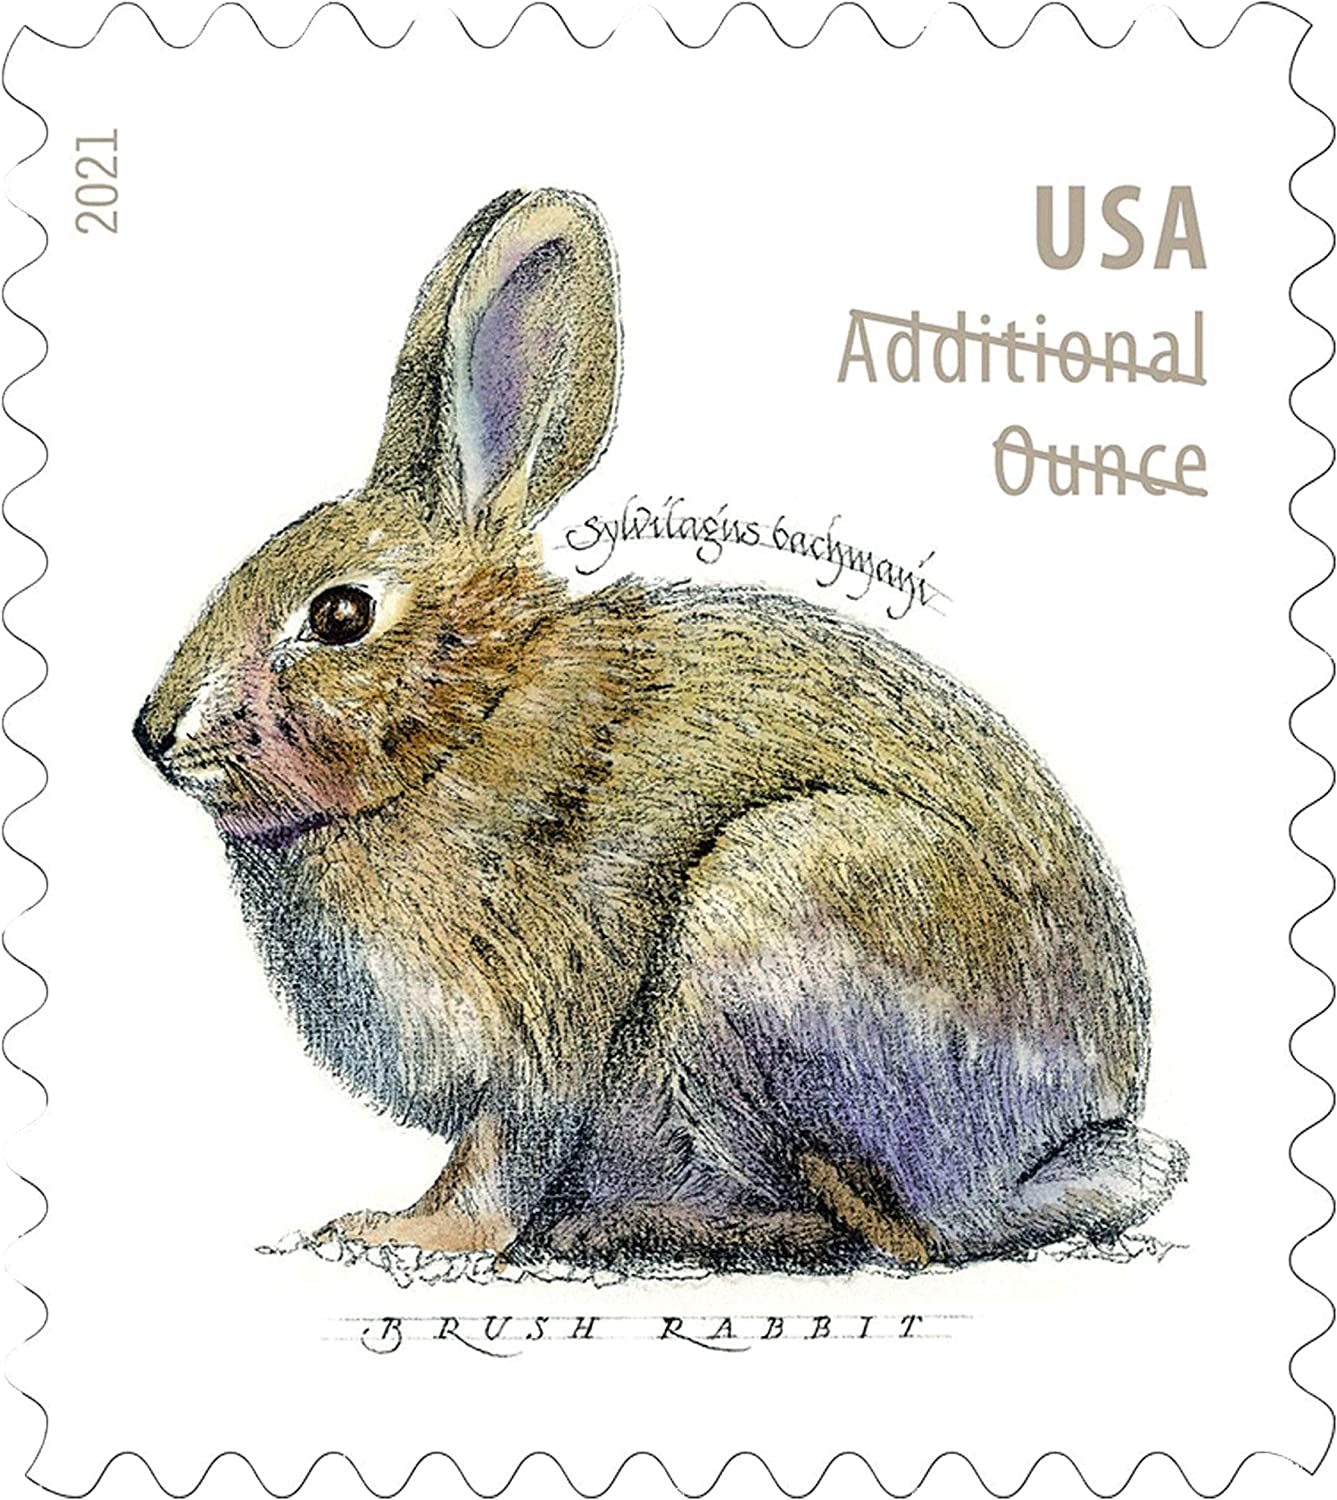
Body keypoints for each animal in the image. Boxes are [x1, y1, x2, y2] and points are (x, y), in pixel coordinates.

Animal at [133, 187, 1186, 1270]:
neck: (463, 726)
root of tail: (1059, 1145)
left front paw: (405, 1231)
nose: (153, 731)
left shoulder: (537, 1037)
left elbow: (499, 1160)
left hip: (767, 918)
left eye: (341, 615)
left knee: (900, 1233)